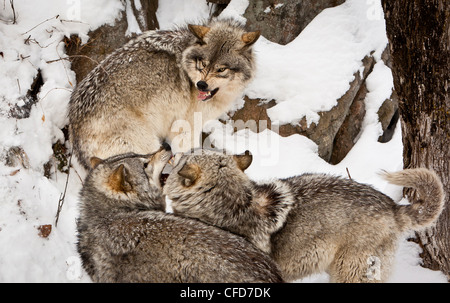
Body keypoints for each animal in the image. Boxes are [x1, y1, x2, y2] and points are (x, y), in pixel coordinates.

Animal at [68, 18, 262, 170]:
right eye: (203, 64)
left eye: (221, 69)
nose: (201, 85)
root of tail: (75, 132)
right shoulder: (186, 127)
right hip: (147, 146)